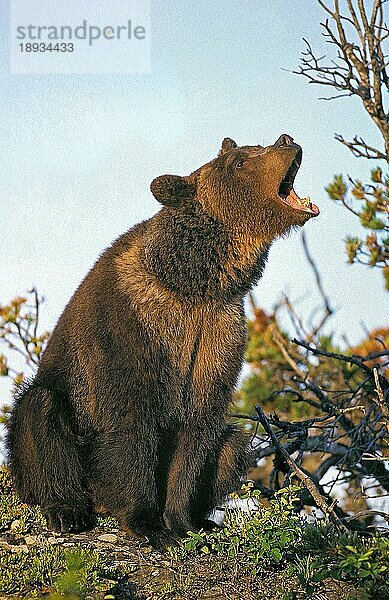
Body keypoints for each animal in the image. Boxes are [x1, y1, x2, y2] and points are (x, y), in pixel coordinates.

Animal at [6, 135, 318, 540]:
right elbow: (130, 418)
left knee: (233, 443)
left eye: (254, 147)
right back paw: (67, 509)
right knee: (40, 412)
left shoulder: (216, 335)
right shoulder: (131, 324)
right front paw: (146, 523)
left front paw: (184, 523)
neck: (191, 283)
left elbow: (199, 426)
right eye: (240, 160)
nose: (286, 140)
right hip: (64, 431)